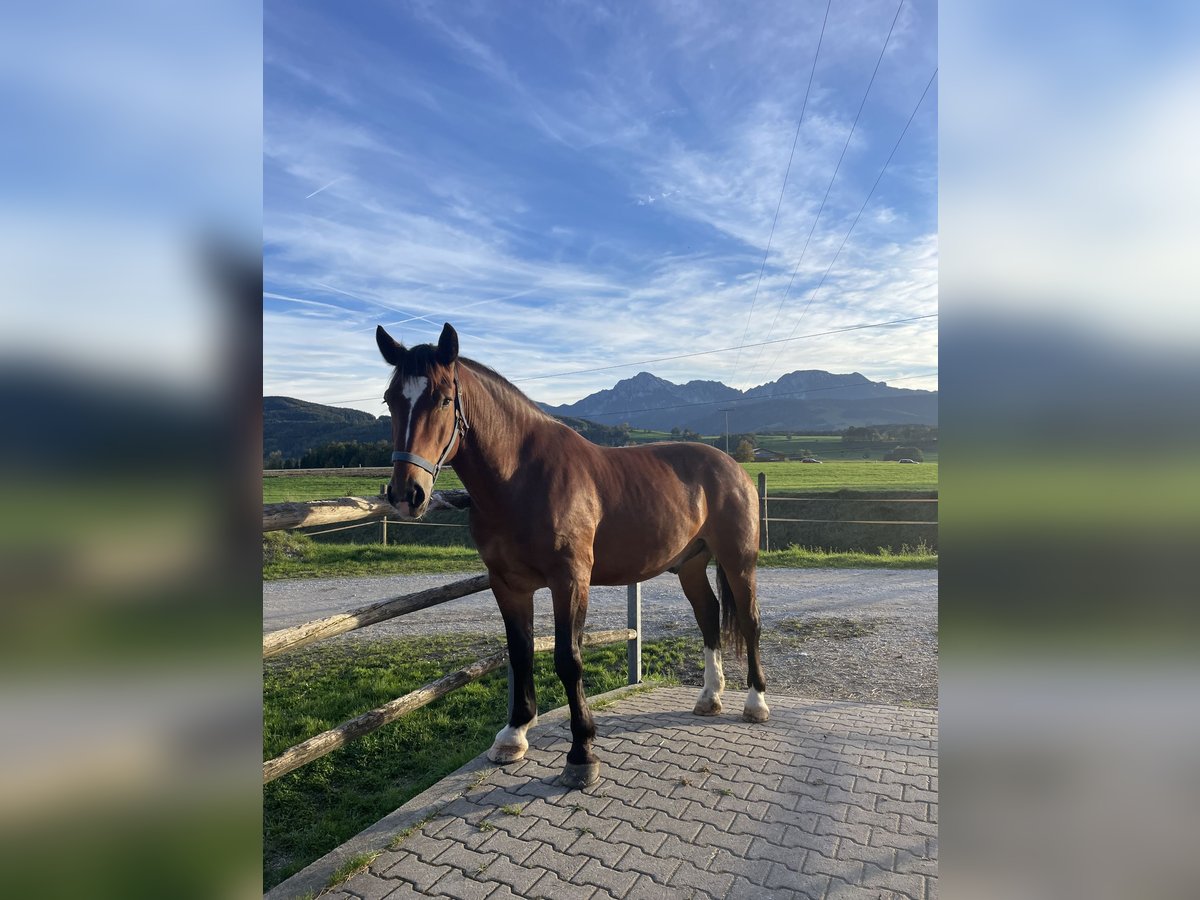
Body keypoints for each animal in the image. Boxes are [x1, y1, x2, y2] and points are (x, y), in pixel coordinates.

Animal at [376, 324, 768, 787]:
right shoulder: (507, 584)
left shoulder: (570, 580)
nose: (407, 494)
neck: (521, 477)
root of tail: (732, 465)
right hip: (690, 563)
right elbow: (521, 652)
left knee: (749, 621)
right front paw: (514, 734)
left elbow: (568, 658)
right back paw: (710, 696)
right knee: (707, 615)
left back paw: (756, 703)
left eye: (442, 398)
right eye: (391, 399)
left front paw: (582, 752)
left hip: (738, 560)